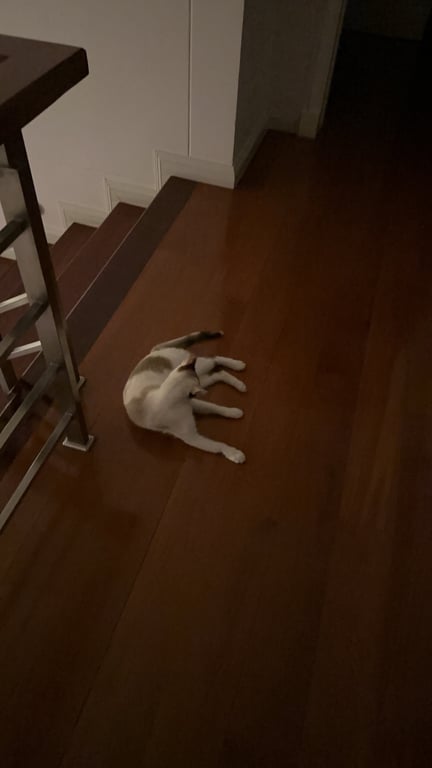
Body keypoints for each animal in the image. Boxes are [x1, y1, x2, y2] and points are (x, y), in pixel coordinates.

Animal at [123, 331, 246, 463]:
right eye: (195, 393)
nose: (202, 391)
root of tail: (152, 352)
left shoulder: (194, 403)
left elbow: (215, 407)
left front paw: (234, 412)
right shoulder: (191, 436)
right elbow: (219, 445)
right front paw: (236, 454)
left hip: (200, 369)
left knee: (215, 359)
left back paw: (239, 366)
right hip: (203, 379)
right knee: (219, 373)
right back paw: (240, 384)